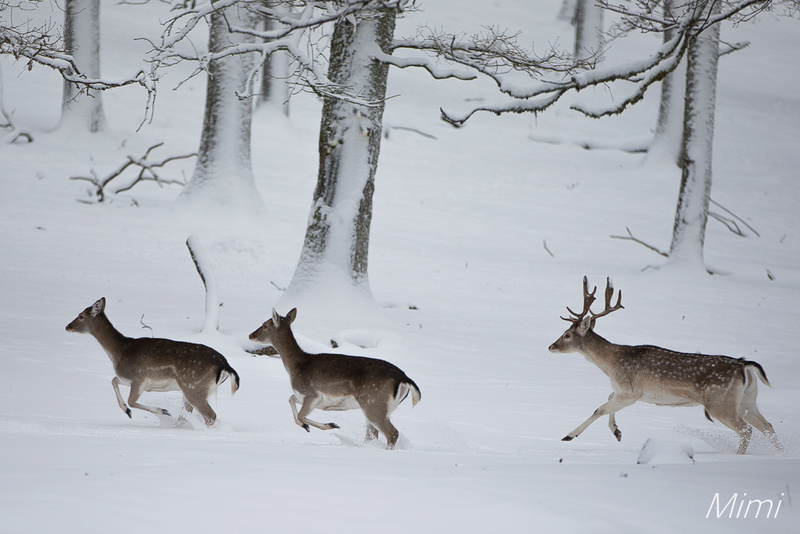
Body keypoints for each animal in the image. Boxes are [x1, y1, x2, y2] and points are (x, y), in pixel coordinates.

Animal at [65, 298, 241, 428]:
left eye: (81, 316)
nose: (67, 326)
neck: (118, 351)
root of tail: (225, 364)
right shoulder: (127, 379)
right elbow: (113, 380)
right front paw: (127, 411)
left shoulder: (138, 378)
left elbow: (131, 400)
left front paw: (162, 411)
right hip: (194, 389)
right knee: (189, 414)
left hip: (194, 387)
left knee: (210, 415)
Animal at [248, 308, 422, 450]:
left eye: (264, 325)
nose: (250, 335)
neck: (297, 367)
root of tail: (404, 378)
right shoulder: (303, 396)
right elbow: (291, 400)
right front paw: (307, 426)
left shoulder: (311, 394)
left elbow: (299, 415)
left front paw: (329, 425)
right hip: (382, 407)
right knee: (373, 434)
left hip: (373, 403)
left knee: (392, 433)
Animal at [552, 276, 780, 456]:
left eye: (567, 334)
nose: (551, 346)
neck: (611, 363)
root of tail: (744, 365)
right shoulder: (623, 391)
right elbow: (607, 399)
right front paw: (617, 432)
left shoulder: (631, 392)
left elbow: (598, 409)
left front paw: (569, 435)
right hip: (747, 401)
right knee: (768, 427)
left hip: (719, 402)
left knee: (746, 430)